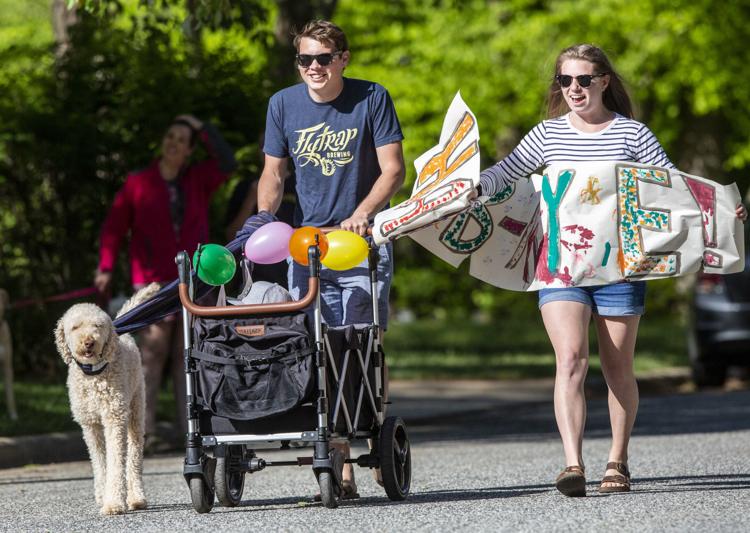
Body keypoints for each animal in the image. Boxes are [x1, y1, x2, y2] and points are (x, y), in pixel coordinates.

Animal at [55, 284, 162, 512]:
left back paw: (136, 497)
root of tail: (123, 333)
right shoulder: (90, 425)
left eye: (98, 326)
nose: (89, 342)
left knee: (134, 456)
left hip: (136, 409)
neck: (94, 374)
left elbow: (116, 462)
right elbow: (100, 462)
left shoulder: (115, 418)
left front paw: (113, 502)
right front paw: (103, 495)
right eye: (75, 327)